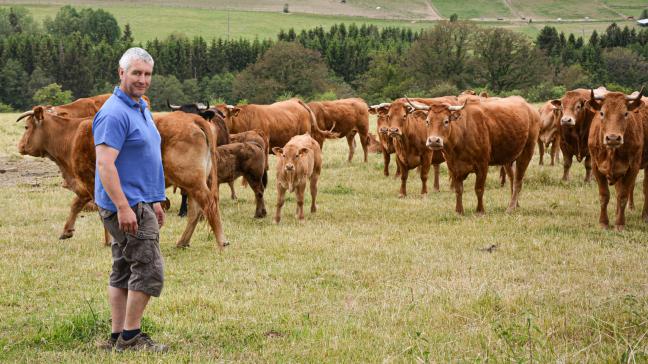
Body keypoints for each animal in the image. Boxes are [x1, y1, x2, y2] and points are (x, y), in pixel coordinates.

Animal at [16, 109, 229, 249]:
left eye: (26, 126)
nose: (20, 146)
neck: (72, 134)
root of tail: (192, 117)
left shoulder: (90, 182)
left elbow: (96, 211)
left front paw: (109, 240)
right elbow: (76, 205)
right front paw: (67, 231)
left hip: (191, 179)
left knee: (208, 203)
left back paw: (221, 240)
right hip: (193, 183)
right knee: (196, 211)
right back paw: (182, 242)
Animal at [410, 96, 540, 213]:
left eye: (446, 121)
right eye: (427, 121)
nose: (433, 140)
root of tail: (530, 108)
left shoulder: (482, 165)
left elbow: (479, 189)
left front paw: (480, 210)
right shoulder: (453, 166)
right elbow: (458, 189)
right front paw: (459, 211)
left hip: (527, 152)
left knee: (518, 181)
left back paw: (510, 208)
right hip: (508, 157)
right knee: (513, 179)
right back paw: (516, 204)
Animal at [588, 89, 648, 230]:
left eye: (625, 113)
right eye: (602, 113)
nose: (613, 138)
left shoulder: (633, 167)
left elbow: (623, 195)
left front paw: (619, 223)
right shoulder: (596, 166)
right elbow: (604, 195)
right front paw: (603, 222)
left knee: (645, 188)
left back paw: (645, 216)